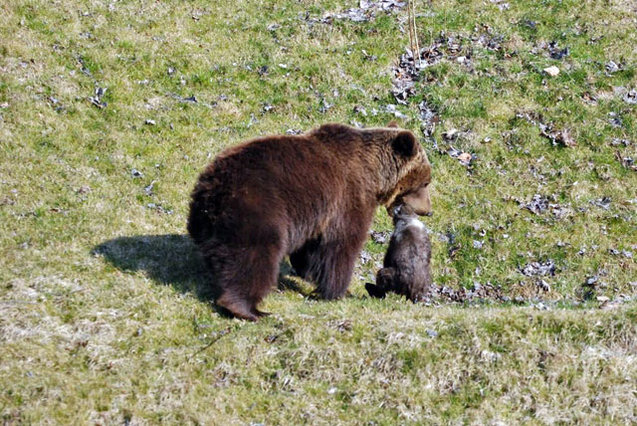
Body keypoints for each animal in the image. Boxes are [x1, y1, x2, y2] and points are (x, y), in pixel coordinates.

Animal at [186, 123, 430, 320]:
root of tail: (211, 189)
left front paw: (307, 271)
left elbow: (312, 248)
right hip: (255, 210)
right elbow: (340, 246)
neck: (374, 175)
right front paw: (337, 291)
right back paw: (250, 310)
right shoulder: (348, 197)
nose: (428, 210)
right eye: (426, 181)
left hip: (209, 224)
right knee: (253, 259)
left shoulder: (318, 215)